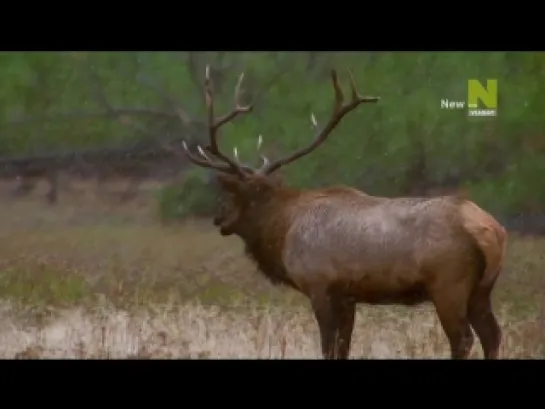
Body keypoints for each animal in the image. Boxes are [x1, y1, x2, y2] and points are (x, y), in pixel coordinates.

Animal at [176, 65, 508, 358]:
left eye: (231, 195)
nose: (218, 219)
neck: (282, 230)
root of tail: (490, 229)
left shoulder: (320, 286)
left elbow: (328, 346)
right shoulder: (348, 297)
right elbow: (343, 347)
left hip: (448, 285)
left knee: (463, 339)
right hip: (482, 290)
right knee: (492, 335)